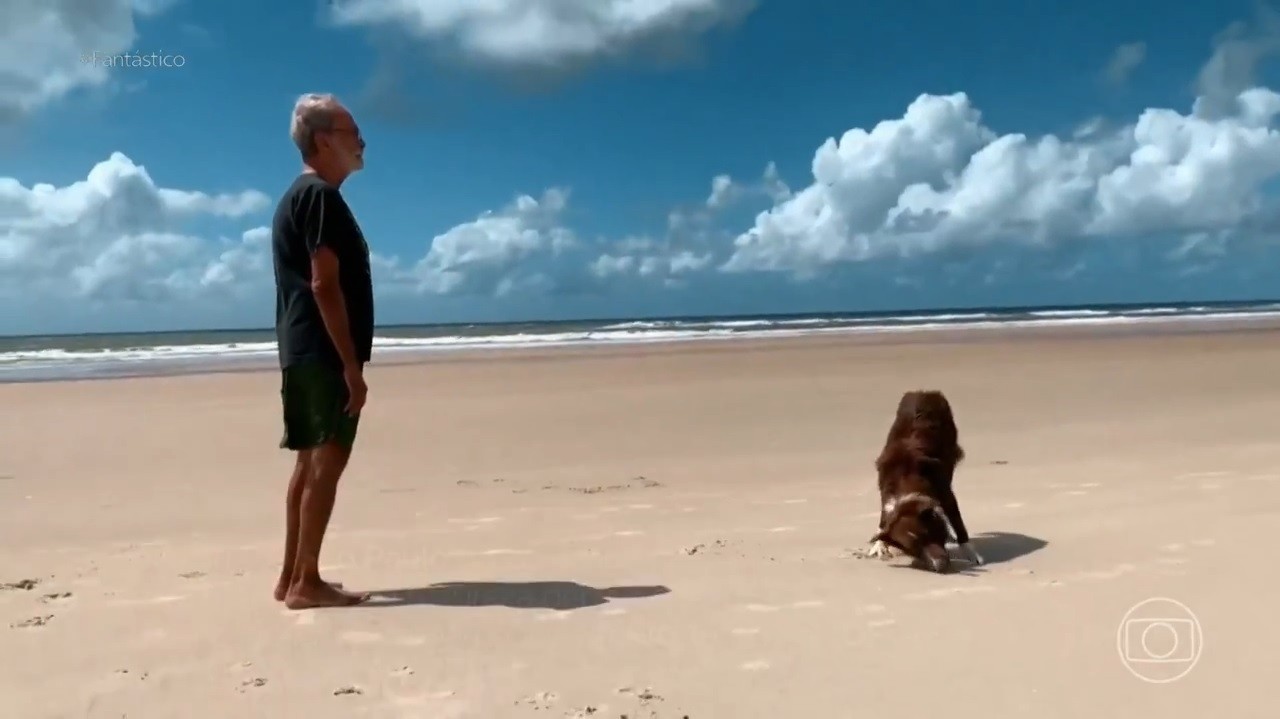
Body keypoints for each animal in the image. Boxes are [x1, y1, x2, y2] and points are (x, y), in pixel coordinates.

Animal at [865, 388, 983, 568]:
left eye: (930, 535)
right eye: (913, 549)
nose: (939, 565)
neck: (906, 480)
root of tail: (924, 392)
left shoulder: (946, 494)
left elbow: (958, 524)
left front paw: (971, 553)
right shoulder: (885, 494)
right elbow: (883, 522)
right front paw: (879, 545)